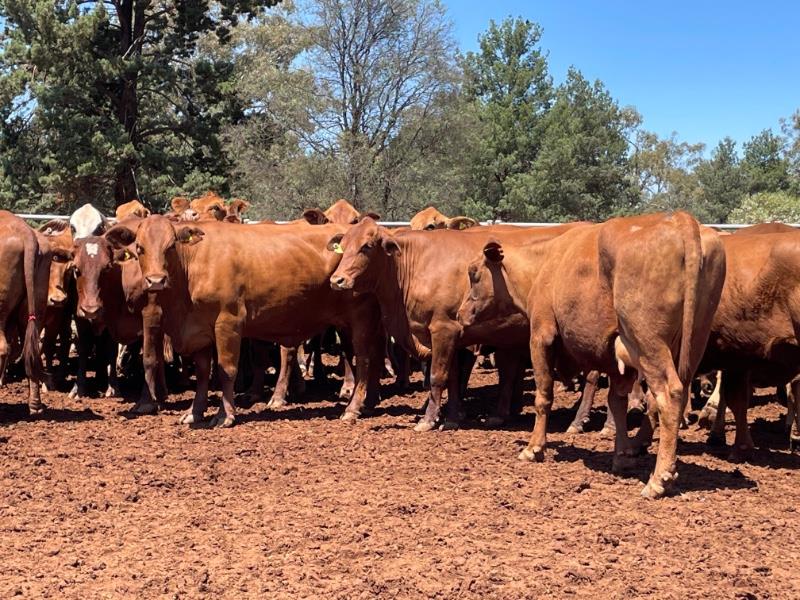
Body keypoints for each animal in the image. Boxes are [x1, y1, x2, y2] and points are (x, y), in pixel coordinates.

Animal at [104, 216, 384, 427]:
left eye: (171, 246)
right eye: (139, 248)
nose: (156, 280)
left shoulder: (228, 323)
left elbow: (226, 370)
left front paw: (224, 415)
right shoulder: (199, 331)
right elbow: (204, 373)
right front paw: (194, 412)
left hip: (361, 317)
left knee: (364, 359)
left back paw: (353, 407)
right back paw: (368, 402)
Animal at [327, 219, 584, 431]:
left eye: (367, 246)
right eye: (344, 246)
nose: (337, 280)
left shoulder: (443, 329)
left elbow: (437, 376)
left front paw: (428, 420)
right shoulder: (449, 337)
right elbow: (451, 377)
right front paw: (450, 417)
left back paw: (578, 420)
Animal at [456, 212, 726, 498]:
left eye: (474, 274)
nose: (460, 314)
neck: (544, 263)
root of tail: (679, 219)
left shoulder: (541, 335)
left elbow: (544, 395)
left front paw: (534, 448)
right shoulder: (618, 360)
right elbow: (616, 402)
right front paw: (622, 456)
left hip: (649, 343)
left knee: (669, 394)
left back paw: (659, 478)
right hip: (692, 343)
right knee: (675, 393)